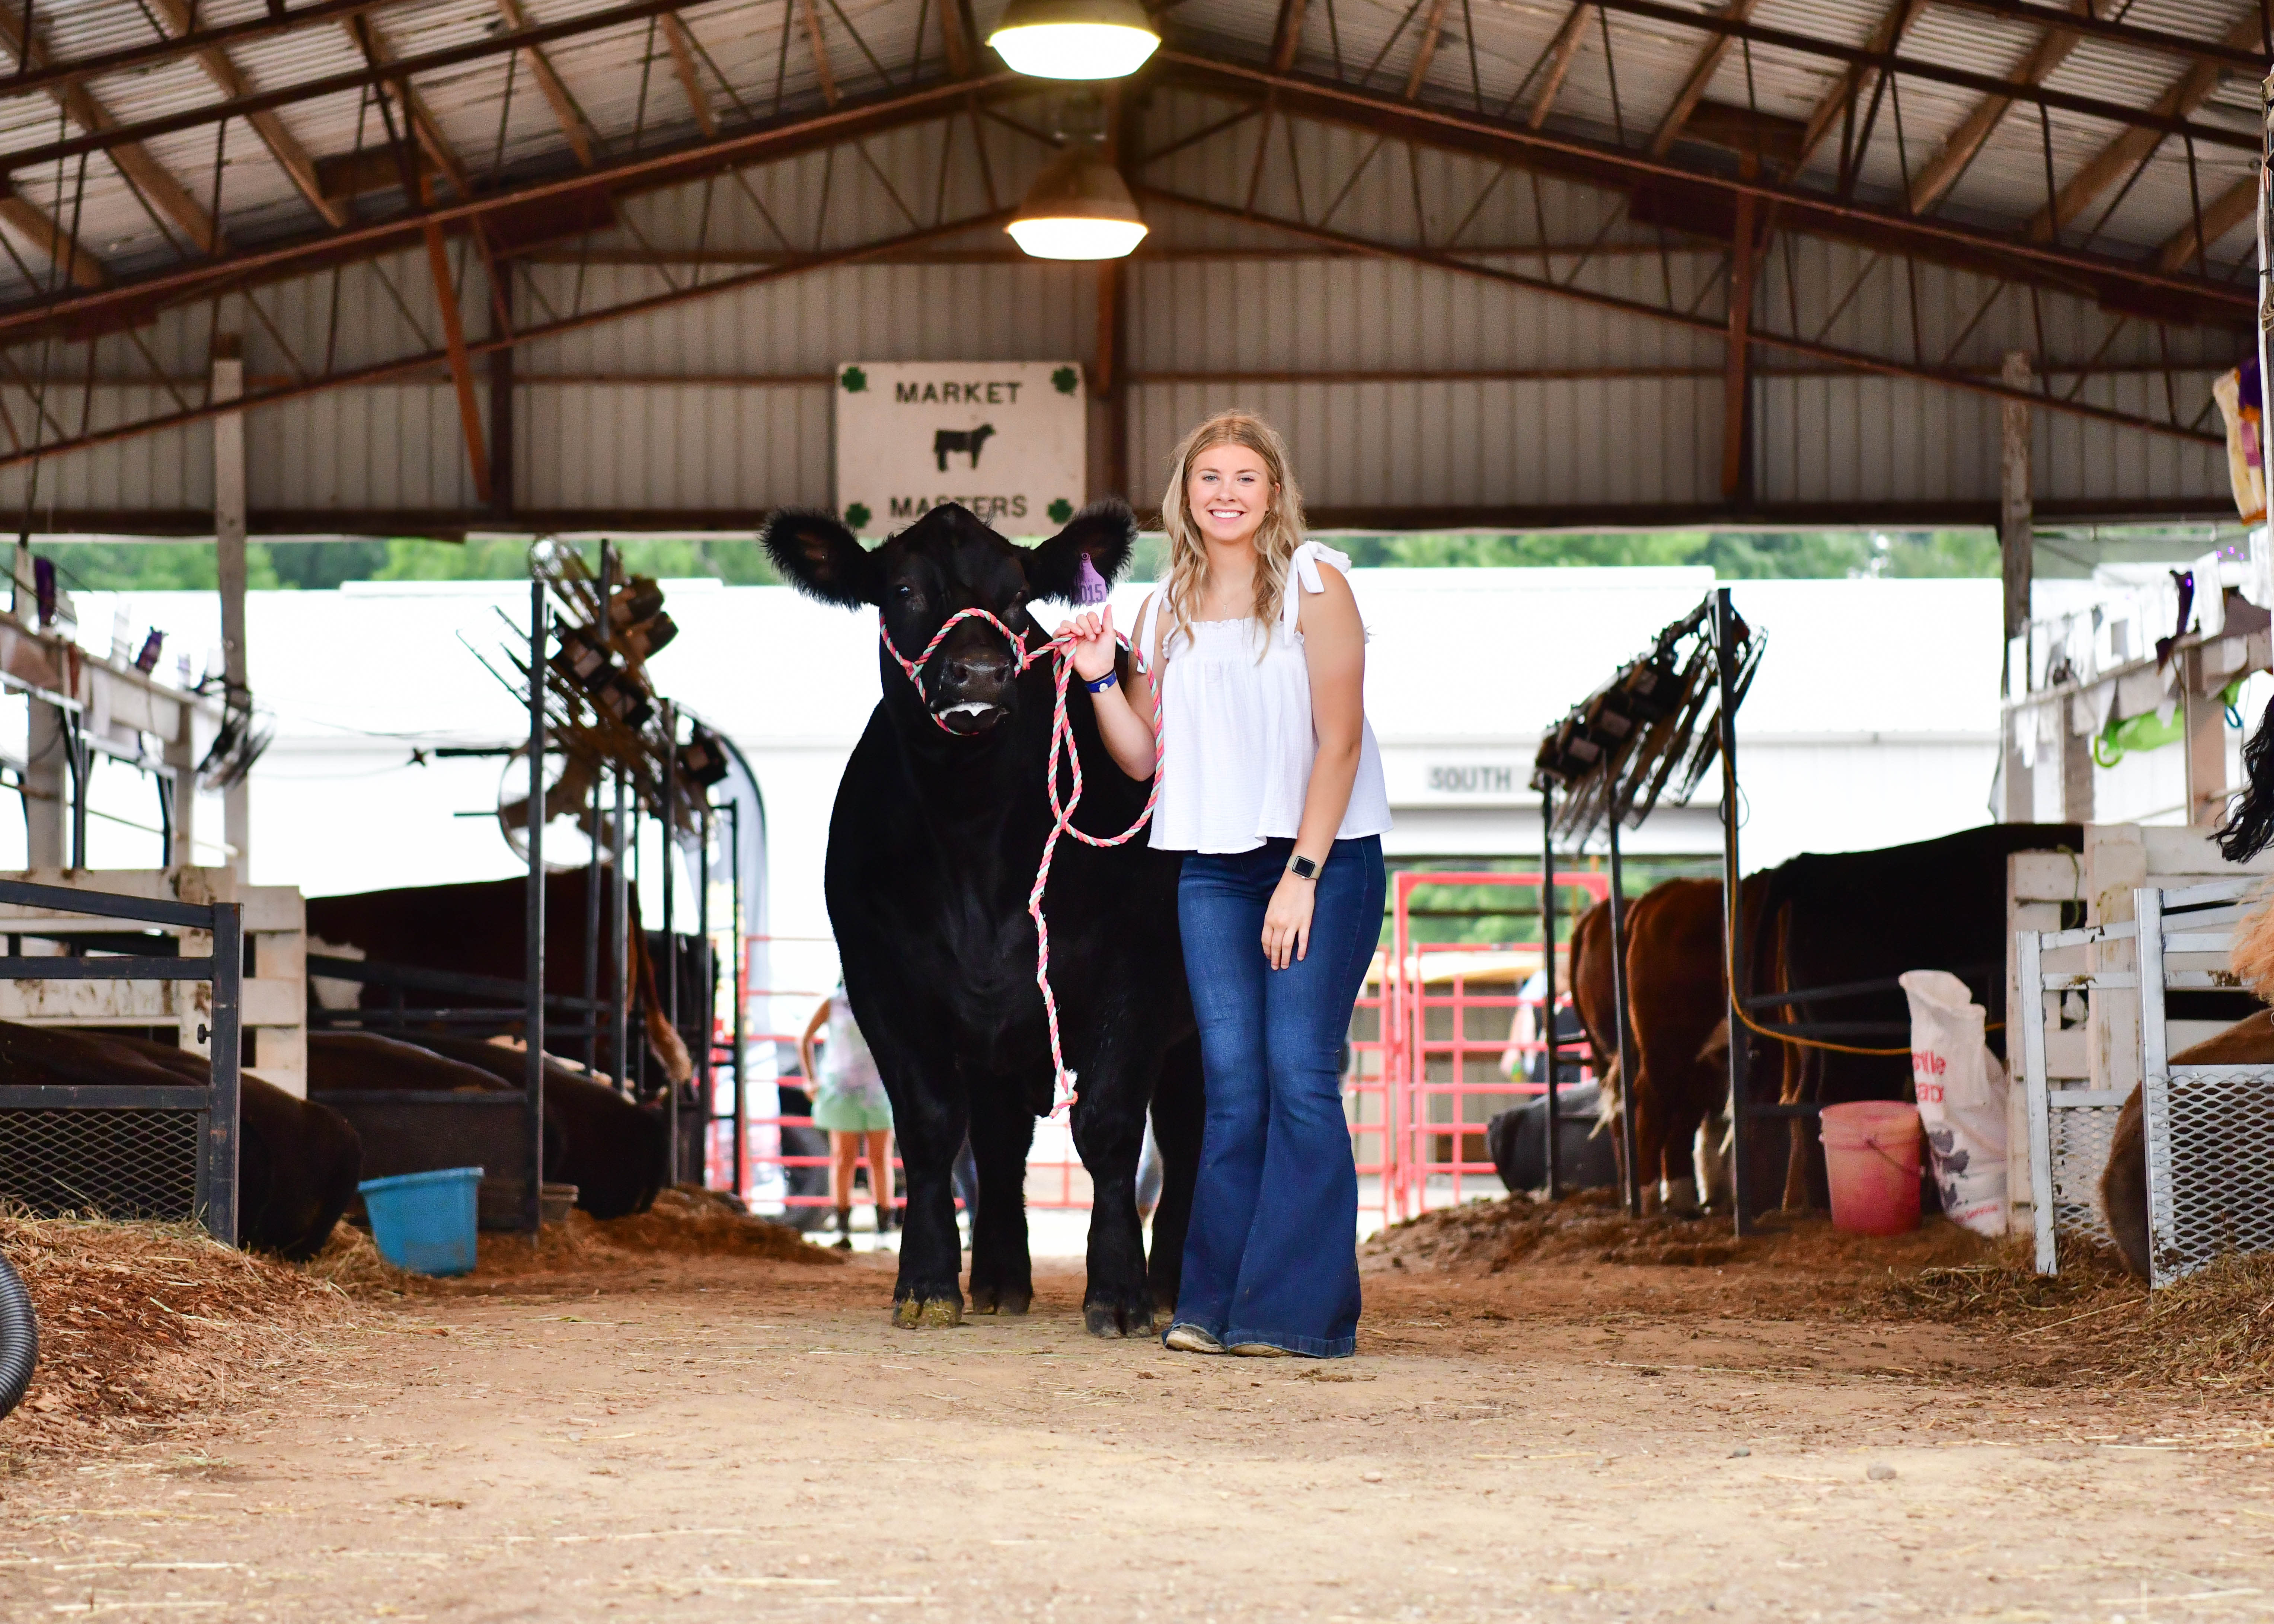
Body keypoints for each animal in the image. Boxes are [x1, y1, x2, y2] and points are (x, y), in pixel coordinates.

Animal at [769, 496, 1210, 1328]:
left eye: (1016, 597)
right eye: (903, 590)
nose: (978, 672)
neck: (974, 837)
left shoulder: (1136, 972)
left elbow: (1108, 1124)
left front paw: (1119, 1290)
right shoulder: (881, 978)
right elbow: (931, 1127)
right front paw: (927, 1281)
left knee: (1188, 1133)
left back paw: (1171, 1277)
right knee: (1001, 1141)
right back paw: (1003, 1277)